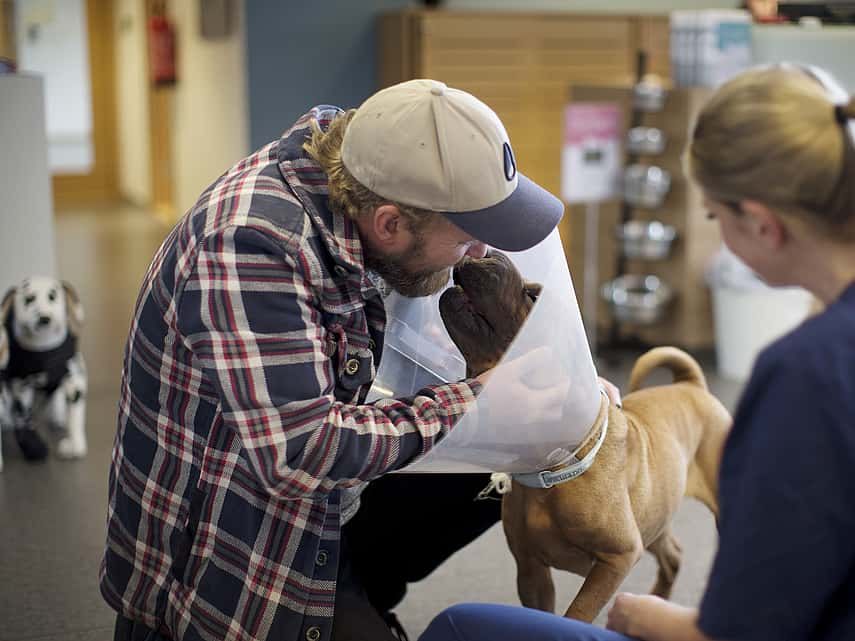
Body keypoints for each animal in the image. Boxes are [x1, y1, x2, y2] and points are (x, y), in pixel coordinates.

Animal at [442, 250, 728, 620]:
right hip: (656, 513)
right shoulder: (531, 571)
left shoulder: (618, 557)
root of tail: (692, 385)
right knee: (673, 556)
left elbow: (577, 614)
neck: (552, 469)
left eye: (533, 296)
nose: (490, 252)